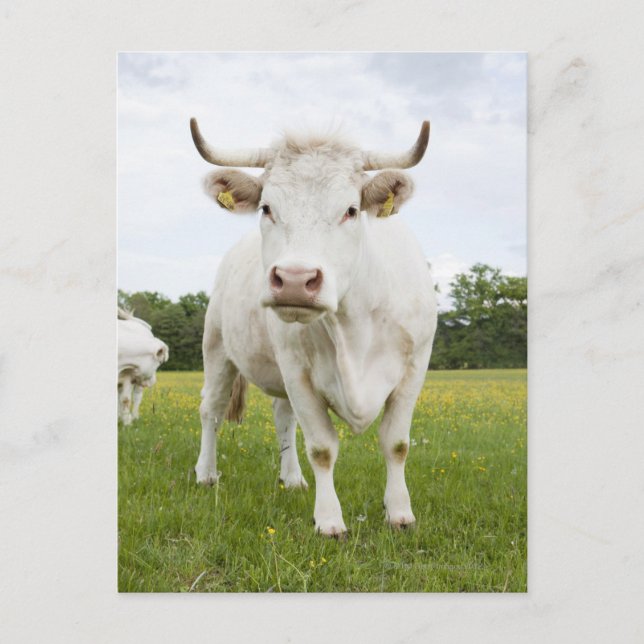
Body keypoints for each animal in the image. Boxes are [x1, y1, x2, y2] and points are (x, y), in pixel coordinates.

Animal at [190, 118, 437, 536]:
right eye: (267, 208)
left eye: (351, 210)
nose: (294, 279)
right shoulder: (296, 370)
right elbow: (322, 448)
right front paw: (329, 520)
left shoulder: (414, 367)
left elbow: (396, 443)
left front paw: (400, 513)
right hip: (217, 346)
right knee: (213, 408)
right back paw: (206, 473)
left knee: (283, 417)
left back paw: (291, 479)